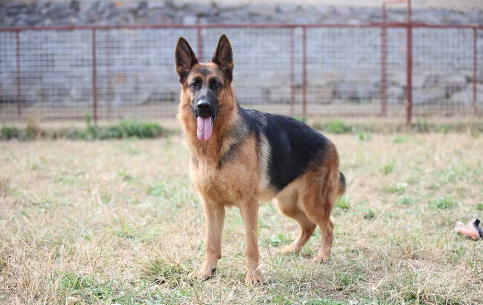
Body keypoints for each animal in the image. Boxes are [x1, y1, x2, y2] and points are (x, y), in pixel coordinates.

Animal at [176, 34, 346, 284]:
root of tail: (329, 142)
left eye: (216, 84)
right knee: (309, 226)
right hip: (287, 204)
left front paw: (253, 277)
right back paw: (293, 250)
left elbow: (251, 245)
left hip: (310, 202)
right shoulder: (211, 204)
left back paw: (323, 256)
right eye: (194, 84)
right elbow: (212, 243)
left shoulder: (248, 204)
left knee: (328, 226)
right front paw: (207, 271)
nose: (203, 107)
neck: (216, 146)